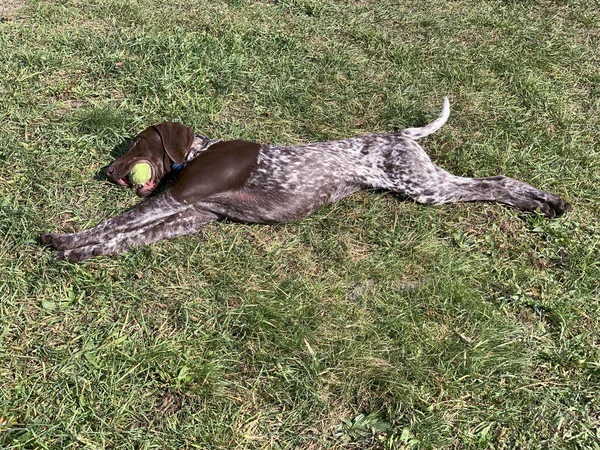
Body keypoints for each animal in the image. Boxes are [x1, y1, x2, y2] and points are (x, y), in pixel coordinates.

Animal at [41, 96, 568, 262]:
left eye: (135, 144)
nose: (108, 173)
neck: (198, 151)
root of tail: (399, 134)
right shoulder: (191, 215)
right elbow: (122, 238)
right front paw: (81, 251)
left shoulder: (176, 200)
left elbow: (113, 225)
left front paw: (66, 241)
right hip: (427, 181)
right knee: (495, 181)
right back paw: (544, 202)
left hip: (423, 187)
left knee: (494, 182)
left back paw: (546, 202)